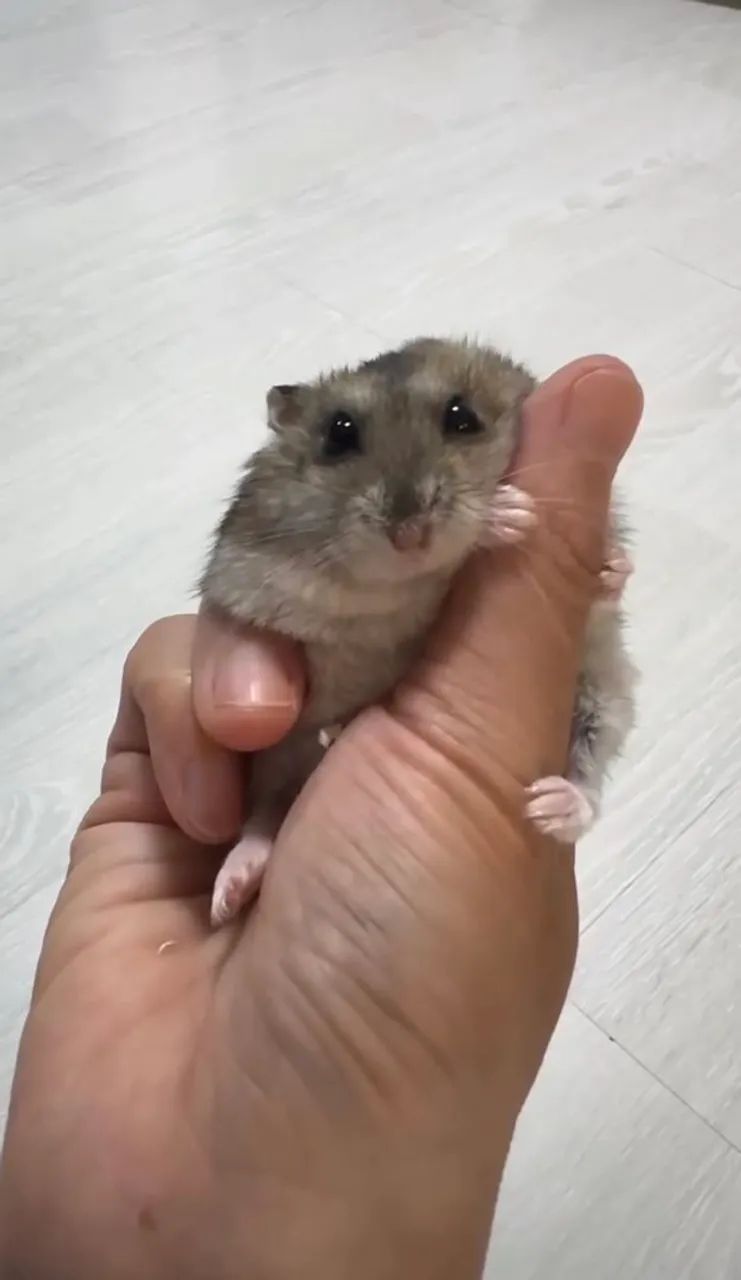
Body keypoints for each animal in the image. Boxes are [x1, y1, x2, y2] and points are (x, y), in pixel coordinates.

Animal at [201, 337, 636, 926]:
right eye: (339, 433)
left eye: (462, 417)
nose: (410, 535)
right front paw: (506, 515)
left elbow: (607, 583)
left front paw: (594, 557)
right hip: (278, 757)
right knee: (264, 816)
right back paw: (231, 889)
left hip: (602, 701)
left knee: (587, 776)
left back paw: (551, 806)